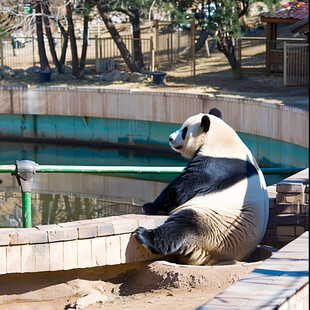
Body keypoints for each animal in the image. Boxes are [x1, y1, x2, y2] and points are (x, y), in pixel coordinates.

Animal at [133, 108, 268, 264]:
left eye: (184, 130)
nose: (170, 138)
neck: (221, 141)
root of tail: (212, 256)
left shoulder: (216, 165)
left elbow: (181, 188)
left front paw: (150, 206)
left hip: (214, 224)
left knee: (184, 225)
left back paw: (145, 236)